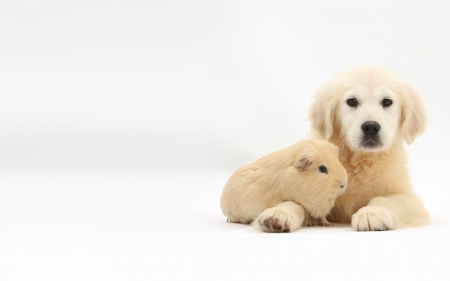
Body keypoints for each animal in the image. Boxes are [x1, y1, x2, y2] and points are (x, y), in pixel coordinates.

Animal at [308, 65, 430, 230]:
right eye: (352, 101)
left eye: (387, 101)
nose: (371, 127)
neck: (361, 160)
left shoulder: (409, 197)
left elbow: (386, 200)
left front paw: (371, 213)